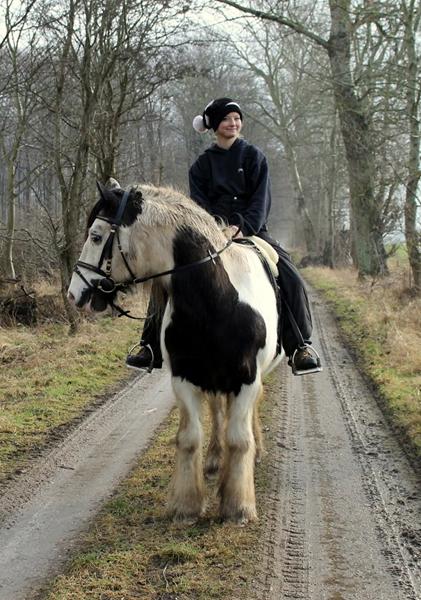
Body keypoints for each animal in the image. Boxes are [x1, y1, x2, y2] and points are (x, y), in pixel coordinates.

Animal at [67, 180, 280, 524]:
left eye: (96, 236)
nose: (74, 295)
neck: (215, 302)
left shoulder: (247, 379)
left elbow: (239, 439)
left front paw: (238, 507)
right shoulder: (184, 377)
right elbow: (189, 438)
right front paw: (186, 505)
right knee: (217, 411)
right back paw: (214, 461)